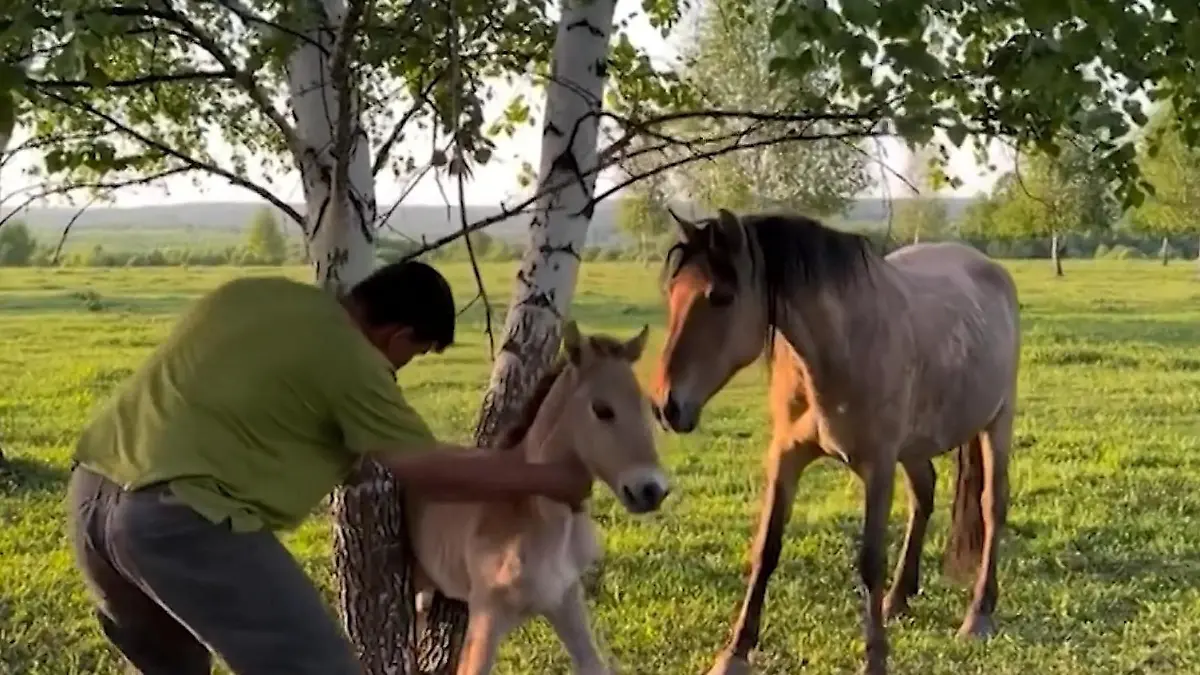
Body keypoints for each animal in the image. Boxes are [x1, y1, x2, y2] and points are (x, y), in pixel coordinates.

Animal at [406, 320, 670, 675]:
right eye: (602, 409)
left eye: (648, 408)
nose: (652, 490)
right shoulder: (487, 615)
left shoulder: (566, 600)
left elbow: (593, 664)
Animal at [650, 209, 1021, 675]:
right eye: (673, 292)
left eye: (720, 297)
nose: (665, 405)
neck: (840, 346)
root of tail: (989, 268)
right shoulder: (786, 456)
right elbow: (766, 549)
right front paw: (734, 652)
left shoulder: (878, 465)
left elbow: (870, 562)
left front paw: (875, 658)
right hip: (915, 446)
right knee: (924, 494)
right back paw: (898, 598)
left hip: (996, 422)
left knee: (992, 506)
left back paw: (978, 615)